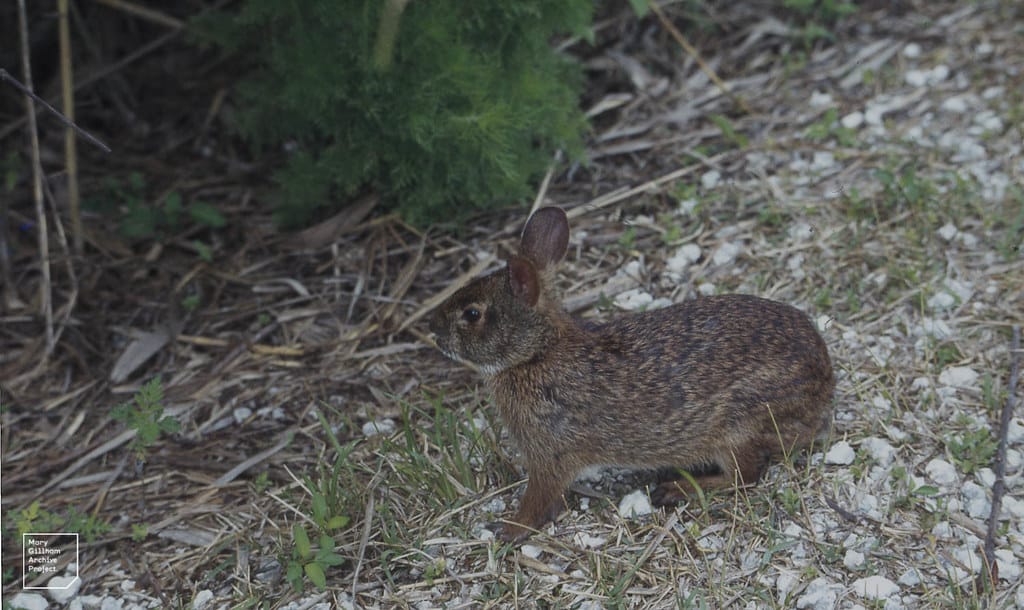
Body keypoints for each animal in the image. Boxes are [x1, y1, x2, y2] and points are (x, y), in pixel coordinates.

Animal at [428, 206, 835, 542]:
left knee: (745, 476)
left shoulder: (549, 453)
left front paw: (510, 529)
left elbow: (538, 497)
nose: (433, 329)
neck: (536, 353)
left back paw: (677, 489)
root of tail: (824, 386)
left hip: (738, 426)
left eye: (472, 314)